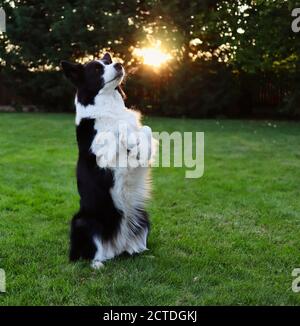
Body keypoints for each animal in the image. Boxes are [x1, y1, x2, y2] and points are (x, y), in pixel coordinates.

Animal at [60, 52, 155, 268]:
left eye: (108, 62)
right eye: (96, 69)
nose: (119, 65)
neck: (109, 106)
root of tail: (117, 245)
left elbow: (146, 130)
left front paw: (140, 147)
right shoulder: (100, 154)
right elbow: (115, 132)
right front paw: (127, 136)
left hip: (143, 215)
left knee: (133, 245)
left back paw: (140, 252)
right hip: (82, 222)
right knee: (85, 255)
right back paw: (97, 264)